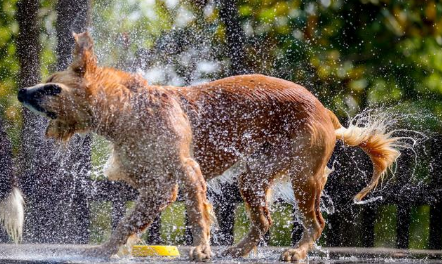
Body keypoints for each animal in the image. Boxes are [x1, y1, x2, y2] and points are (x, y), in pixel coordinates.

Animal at [17, 32, 400, 260]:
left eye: (52, 88)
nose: (21, 92)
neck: (130, 110)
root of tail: (327, 112)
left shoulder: (186, 172)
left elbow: (196, 215)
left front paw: (201, 248)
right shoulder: (158, 185)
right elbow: (128, 222)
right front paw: (105, 249)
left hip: (304, 177)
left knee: (315, 223)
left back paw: (297, 251)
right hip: (254, 174)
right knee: (264, 220)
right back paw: (238, 250)